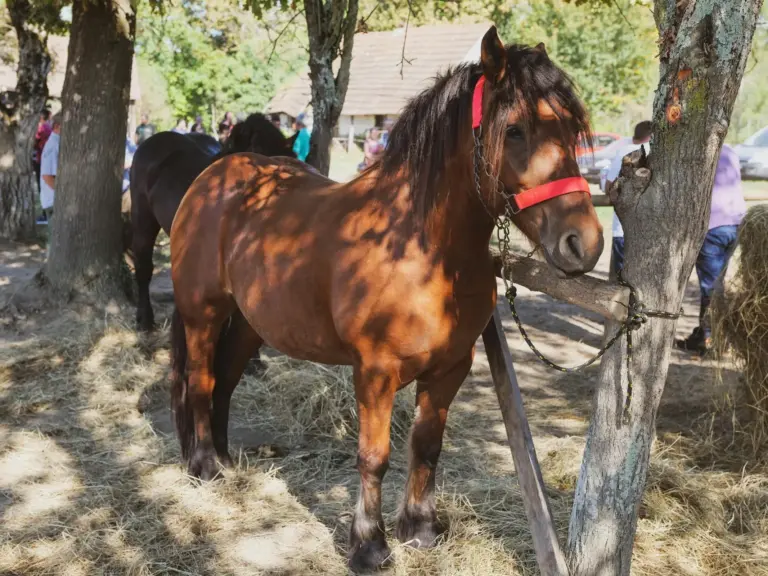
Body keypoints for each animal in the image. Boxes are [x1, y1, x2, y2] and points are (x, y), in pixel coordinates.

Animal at [169, 27, 603, 572]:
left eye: (571, 128)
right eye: (516, 130)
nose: (583, 244)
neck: (420, 246)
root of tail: (212, 177)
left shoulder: (450, 368)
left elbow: (426, 446)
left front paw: (419, 530)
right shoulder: (374, 373)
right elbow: (374, 457)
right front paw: (369, 545)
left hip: (250, 323)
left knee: (224, 379)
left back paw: (226, 459)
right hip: (202, 313)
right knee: (200, 380)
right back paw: (204, 465)